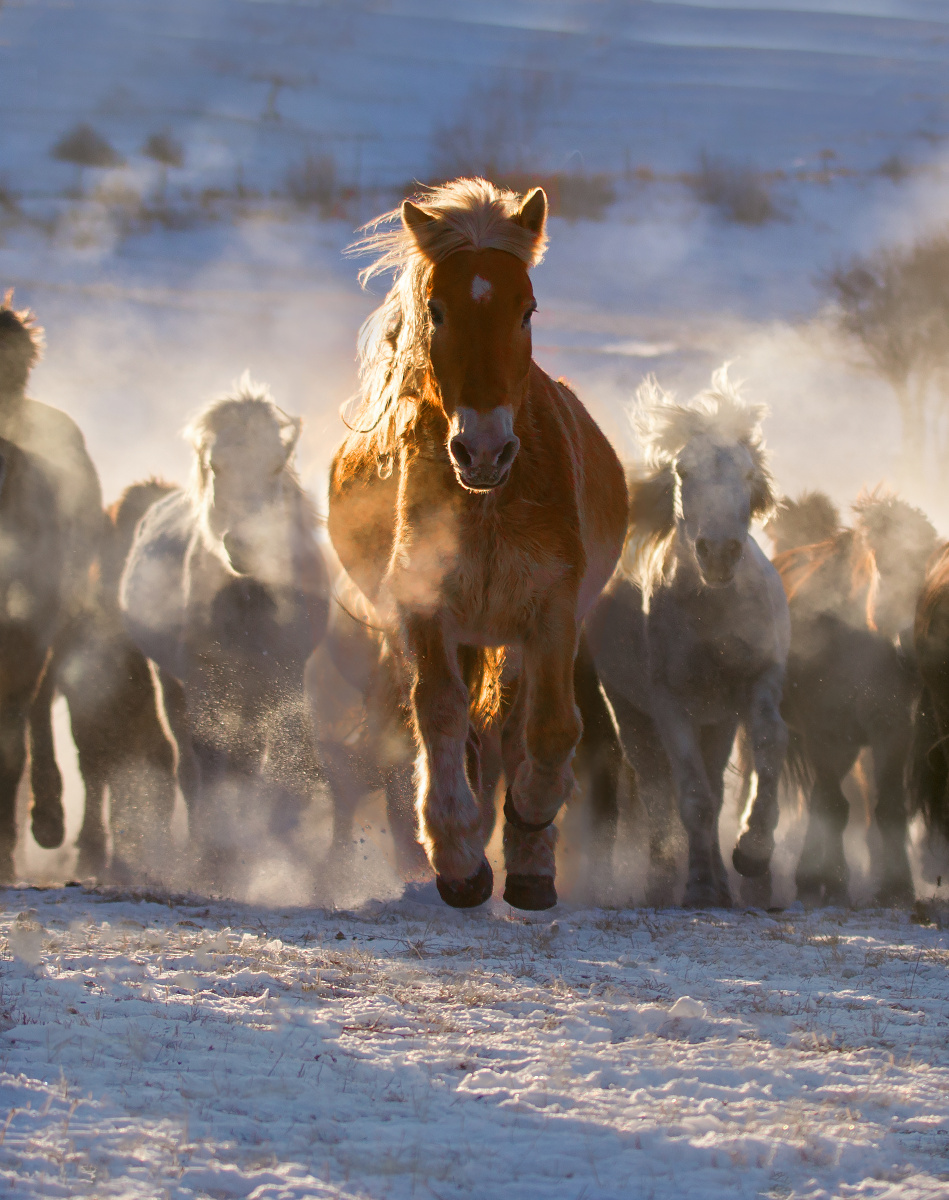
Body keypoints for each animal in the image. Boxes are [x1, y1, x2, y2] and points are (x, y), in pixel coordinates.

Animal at [121, 378, 330, 892]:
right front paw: (216, 860)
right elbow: (211, 764)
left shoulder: (284, 682)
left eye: (274, 466)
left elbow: (276, 765)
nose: (243, 544)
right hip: (173, 686)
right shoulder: (204, 686)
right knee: (190, 765)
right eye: (216, 466)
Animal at [327, 178, 628, 910]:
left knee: (516, 729)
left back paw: (527, 856)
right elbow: (437, 714)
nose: (484, 449)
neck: (489, 500)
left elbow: (550, 731)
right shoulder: (425, 609)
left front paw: (529, 825)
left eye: (527, 309)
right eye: (436, 310)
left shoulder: (551, 613)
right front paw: (459, 856)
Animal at [586, 369, 789, 908]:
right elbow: (691, 797)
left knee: (713, 787)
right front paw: (698, 886)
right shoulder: (669, 703)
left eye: (747, 474)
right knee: (658, 790)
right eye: (683, 471)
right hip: (632, 713)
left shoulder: (759, 679)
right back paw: (664, 882)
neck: (713, 612)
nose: (718, 551)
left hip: (716, 719)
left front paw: (753, 853)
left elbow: (767, 744)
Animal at [772, 487, 937, 905]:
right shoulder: (824, 732)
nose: (910, 641)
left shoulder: (892, 729)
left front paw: (896, 886)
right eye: (886, 567)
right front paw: (833, 881)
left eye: (927, 570)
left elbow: (888, 807)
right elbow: (834, 806)